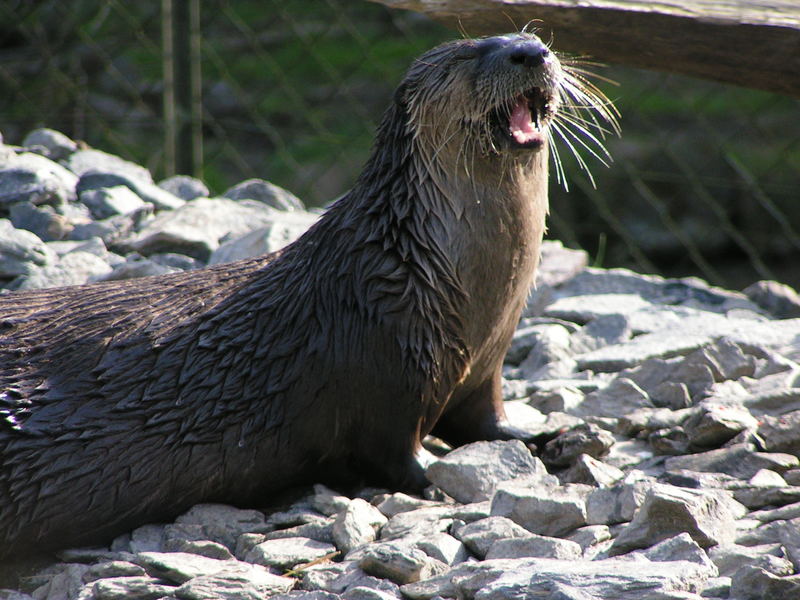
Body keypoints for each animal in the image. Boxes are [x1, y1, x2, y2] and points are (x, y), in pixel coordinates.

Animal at [0, 31, 620, 556]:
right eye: (471, 53)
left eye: (534, 36)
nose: (530, 52)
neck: (418, 271)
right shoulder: (385, 366)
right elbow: (395, 452)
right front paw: (444, 487)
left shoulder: (484, 366)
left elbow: (487, 420)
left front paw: (552, 436)